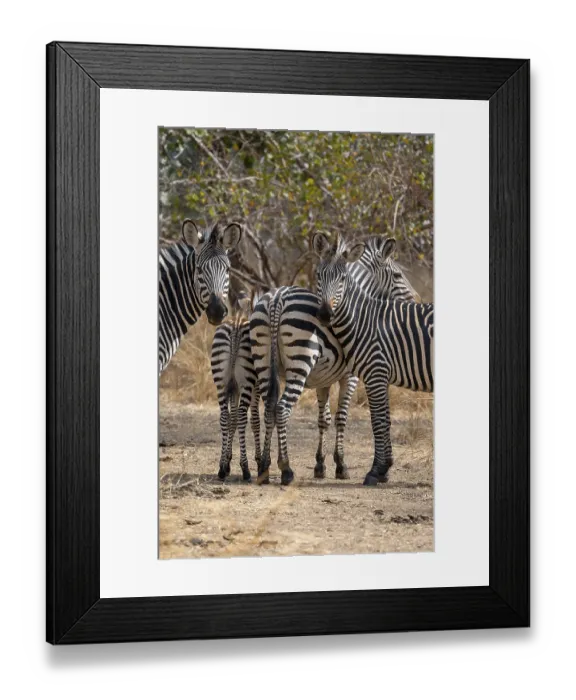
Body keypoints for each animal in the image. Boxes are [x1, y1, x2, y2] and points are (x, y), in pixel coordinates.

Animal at [210, 290, 262, 482]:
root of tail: (236, 327)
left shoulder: (233, 389)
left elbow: (231, 421)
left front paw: (226, 461)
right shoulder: (255, 387)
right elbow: (254, 420)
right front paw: (259, 461)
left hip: (221, 381)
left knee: (225, 416)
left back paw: (221, 469)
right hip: (247, 382)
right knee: (241, 416)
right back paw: (246, 469)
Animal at [250, 235, 419, 486]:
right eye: (398, 275)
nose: (416, 299)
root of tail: (277, 299)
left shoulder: (324, 379)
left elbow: (324, 419)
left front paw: (320, 465)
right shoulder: (351, 376)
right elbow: (341, 417)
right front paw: (341, 465)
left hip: (262, 360)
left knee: (269, 406)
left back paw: (263, 467)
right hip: (300, 362)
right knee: (282, 408)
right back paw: (286, 468)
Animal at [313, 232, 434, 486]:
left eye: (343, 278)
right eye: (318, 275)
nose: (325, 314)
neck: (366, 318)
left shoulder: (368, 374)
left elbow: (372, 420)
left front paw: (375, 469)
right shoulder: (362, 375)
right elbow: (372, 420)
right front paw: (381, 468)